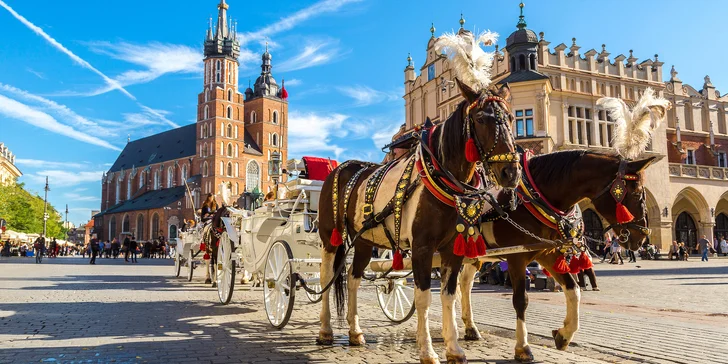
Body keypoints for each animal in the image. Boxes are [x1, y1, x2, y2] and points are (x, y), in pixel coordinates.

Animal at [320, 79, 524, 364]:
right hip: (330, 237)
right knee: (326, 277)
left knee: (352, 278)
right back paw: (326, 330)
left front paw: (454, 348)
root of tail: (339, 167)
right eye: (481, 119)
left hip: (364, 241)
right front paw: (427, 351)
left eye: (510, 118)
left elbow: (449, 296)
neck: (443, 179)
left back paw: (355, 332)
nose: (511, 172)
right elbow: (424, 297)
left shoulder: (452, 250)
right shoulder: (422, 248)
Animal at [460, 150, 660, 362]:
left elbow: (574, 290)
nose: (642, 237)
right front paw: (523, 347)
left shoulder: (548, 253)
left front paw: (564, 335)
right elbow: (521, 300)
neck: (534, 199)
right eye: (637, 193)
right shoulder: (517, 257)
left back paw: (470, 328)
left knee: (464, 284)